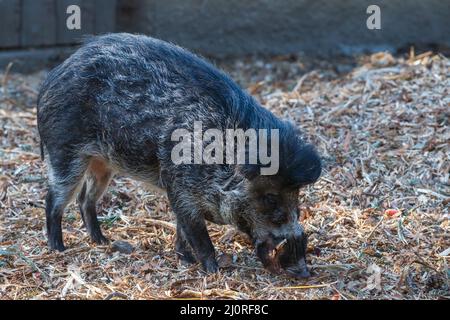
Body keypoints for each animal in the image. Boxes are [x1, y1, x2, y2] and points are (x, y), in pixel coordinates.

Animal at [37, 34, 320, 278]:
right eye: (271, 198)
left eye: (297, 198)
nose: (304, 271)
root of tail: (53, 76)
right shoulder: (181, 190)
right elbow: (198, 235)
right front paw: (213, 271)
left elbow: (182, 231)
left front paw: (186, 260)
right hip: (65, 151)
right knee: (54, 199)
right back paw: (58, 248)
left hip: (102, 163)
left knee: (86, 199)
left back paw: (103, 241)